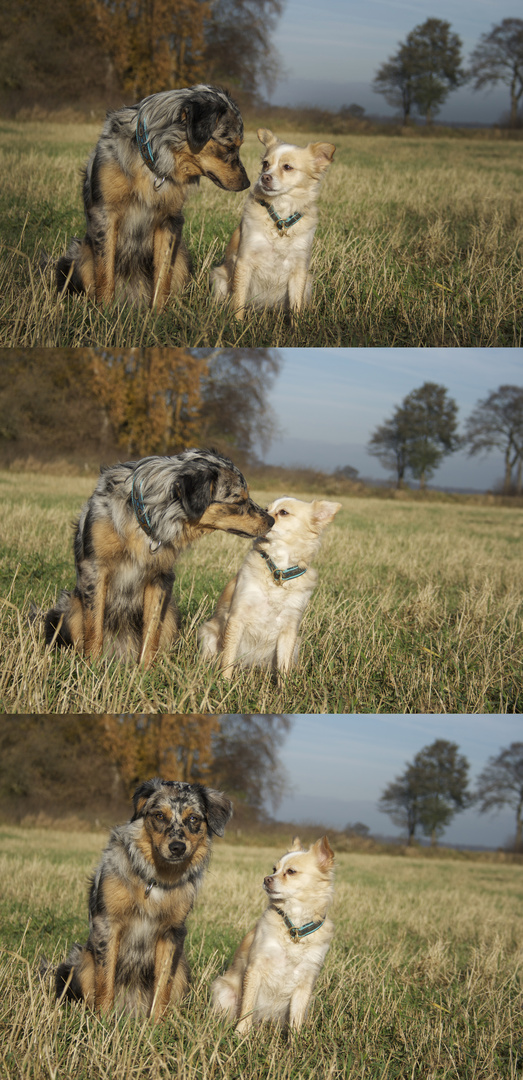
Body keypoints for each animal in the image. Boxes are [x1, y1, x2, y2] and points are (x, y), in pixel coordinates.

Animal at [196, 494, 339, 673]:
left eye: (283, 512)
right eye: (266, 509)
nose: (265, 516)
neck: (278, 571)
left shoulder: (289, 628)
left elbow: (284, 667)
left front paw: (284, 682)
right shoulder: (237, 617)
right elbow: (228, 658)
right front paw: (224, 679)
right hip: (208, 633)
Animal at [210, 129, 337, 317]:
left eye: (287, 167)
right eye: (265, 164)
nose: (265, 177)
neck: (280, 216)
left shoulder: (299, 269)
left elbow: (296, 307)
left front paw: (297, 324)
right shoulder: (244, 261)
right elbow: (238, 300)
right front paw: (236, 322)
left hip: (308, 283)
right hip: (219, 277)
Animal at [211, 833, 334, 1036]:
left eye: (291, 871)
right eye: (274, 869)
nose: (266, 878)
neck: (294, 926)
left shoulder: (305, 981)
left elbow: (296, 1020)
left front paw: (295, 1041)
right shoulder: (255, 968)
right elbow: (247, 1007)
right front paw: (240, 1033)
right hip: (224, 990)